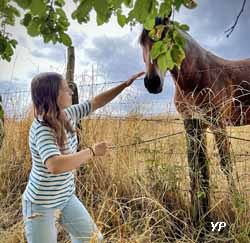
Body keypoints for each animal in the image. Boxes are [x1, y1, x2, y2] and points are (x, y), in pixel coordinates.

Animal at [139, 16, 250, 226]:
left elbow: (226, 165)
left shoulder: (217, 123)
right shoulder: (193, 124)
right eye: (141, 42)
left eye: (165, 36)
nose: (152, 82)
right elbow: (198, 166)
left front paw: (238, 205)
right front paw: (201, 216)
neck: (197, 76)